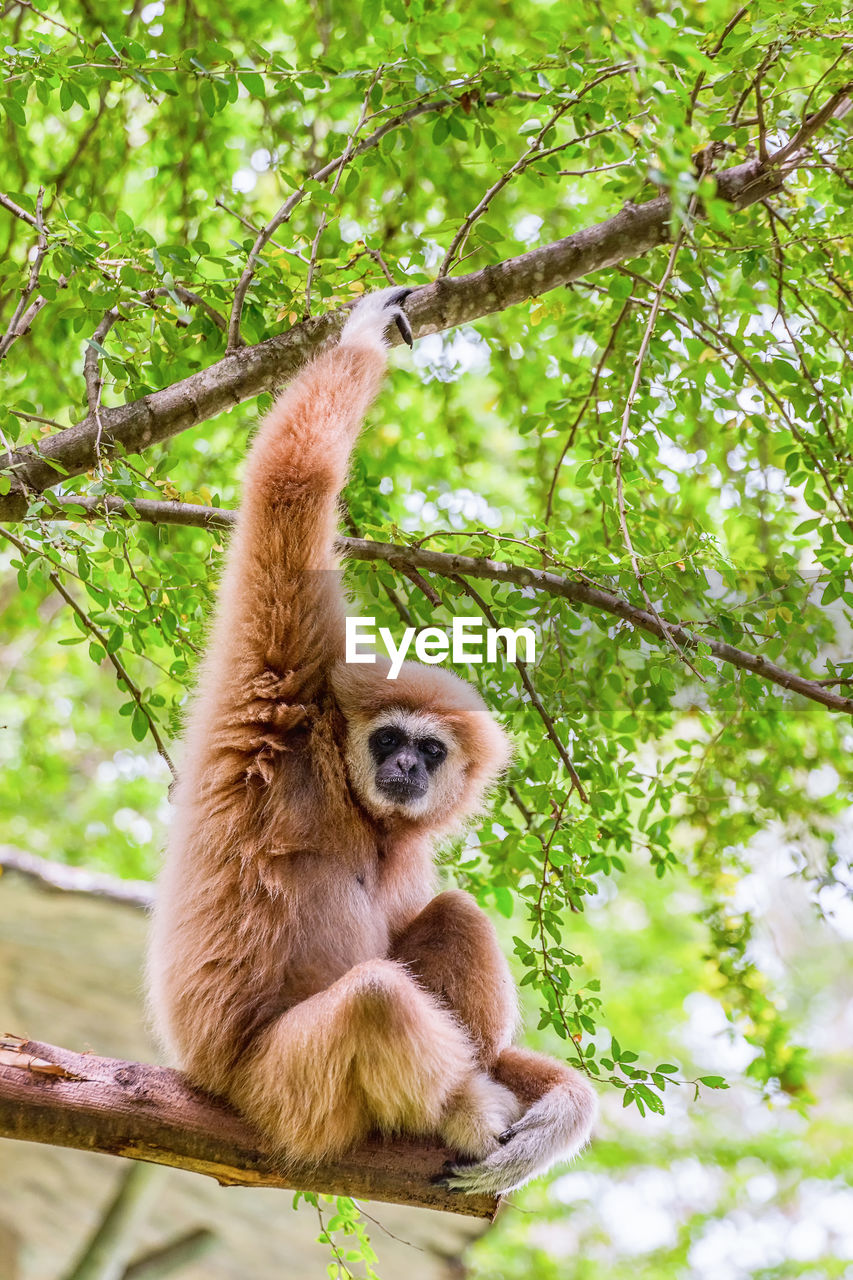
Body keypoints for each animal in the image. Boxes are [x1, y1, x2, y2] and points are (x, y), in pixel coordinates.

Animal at [146, 285, 594, 1192]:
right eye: (388, 738)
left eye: (431, 750)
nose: (404, 765)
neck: (354, 804)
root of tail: (207, 1078)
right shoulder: (279, 685)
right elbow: (288, 492)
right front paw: (361, 340)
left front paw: (563, 1108)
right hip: (277, 1094)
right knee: (373, 999)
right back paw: (463, 1108)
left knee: (454, 914)